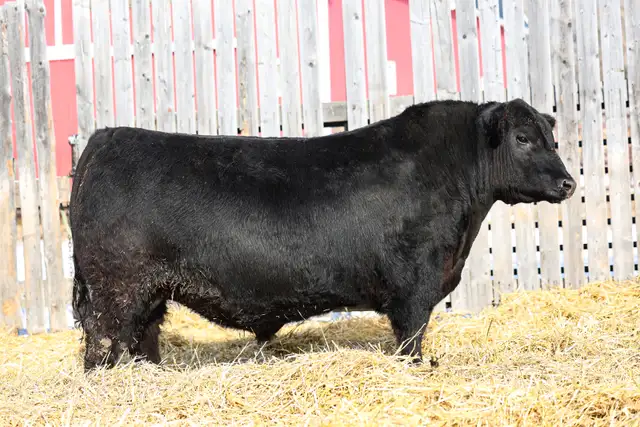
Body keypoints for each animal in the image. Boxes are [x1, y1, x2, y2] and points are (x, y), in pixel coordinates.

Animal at [69, 98, 576, 371]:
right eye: (522, 139)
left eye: (551, 138)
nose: (569, 183)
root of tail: (104, 138)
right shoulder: (414, 287)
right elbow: (411, 342)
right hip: (114, 290)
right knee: (102, 345)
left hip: (149, 293)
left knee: (143, 338)